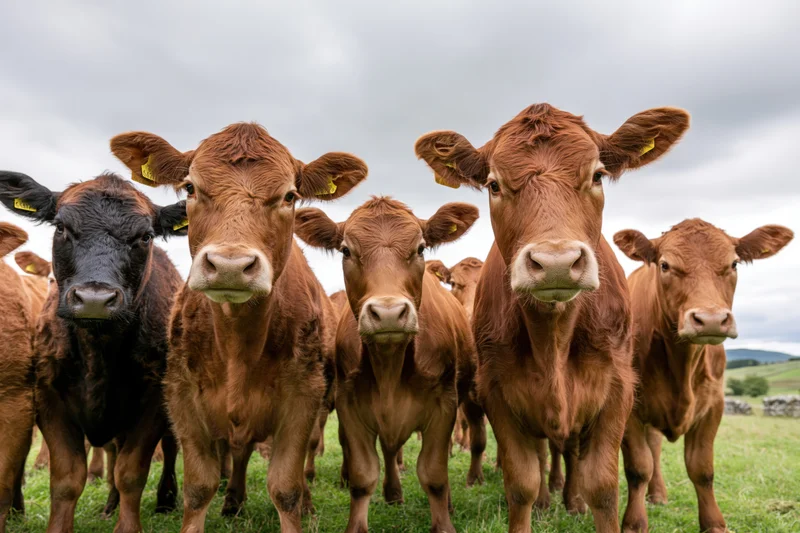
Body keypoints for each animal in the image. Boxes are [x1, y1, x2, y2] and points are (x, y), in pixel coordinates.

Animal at [0, 171, 185, 533]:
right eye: (61, 227)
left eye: (145, 237)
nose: (95, 299)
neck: (98, 350)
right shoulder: (50, 399)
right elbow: (67, 479)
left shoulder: (153, 400)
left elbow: (130, 473)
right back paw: (110, 505)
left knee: (168, 448)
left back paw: (166, 499)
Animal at [110, 122, 368, 533]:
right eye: (190, 188)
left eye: (289, 196)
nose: (230, 265)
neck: (236, 343)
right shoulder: (181, 396)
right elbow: (199, 486)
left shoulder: (303, 398)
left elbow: (286, 486)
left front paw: (298, 509)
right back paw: (233, 502)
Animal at [294, 196, 486, 533]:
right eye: (346, 250)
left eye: (420, 248)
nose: (388, 313)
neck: (390, 366)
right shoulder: (349, 404)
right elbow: (362, 475)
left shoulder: (445, 405)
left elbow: (434, 474)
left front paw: (444, 521)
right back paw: (393, 492)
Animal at [415, 103, 690, 533]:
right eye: (494, 185)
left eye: (597, 175)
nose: (557, 262)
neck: (555, 335)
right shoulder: (497, 391)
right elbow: (522, 482)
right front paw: (536, 499)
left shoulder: (618, 390)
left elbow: (602, 486)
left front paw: (582, 499)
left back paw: (571, 498)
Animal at [613, 219, 793, 533]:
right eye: (664, 265)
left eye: (733, 263)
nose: (710, 319)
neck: (682, 363)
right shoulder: (630, 406)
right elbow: (638, 468)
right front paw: (634, 524)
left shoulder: (713, 405)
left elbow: (701, 469)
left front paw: (714, 523)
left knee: (655, 446)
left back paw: (658, 494)